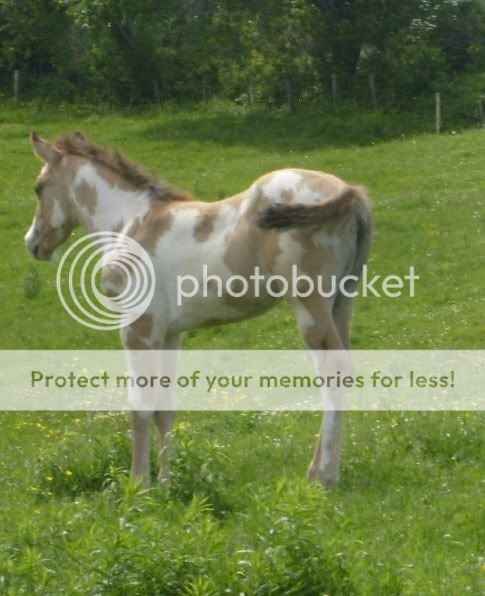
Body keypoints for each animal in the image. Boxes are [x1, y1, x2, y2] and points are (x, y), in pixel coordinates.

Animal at [25, 133, 370, 486]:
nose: (32, 242)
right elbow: (165, 407)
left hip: (310, 305)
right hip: (342, 302)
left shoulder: (139, 330)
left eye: (39, 187)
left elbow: (140, 405)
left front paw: (139, 483)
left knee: (334, 371)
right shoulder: (170, 335)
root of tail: (347, 192)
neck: (130, 225)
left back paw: (321, 475)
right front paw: (165, 482)